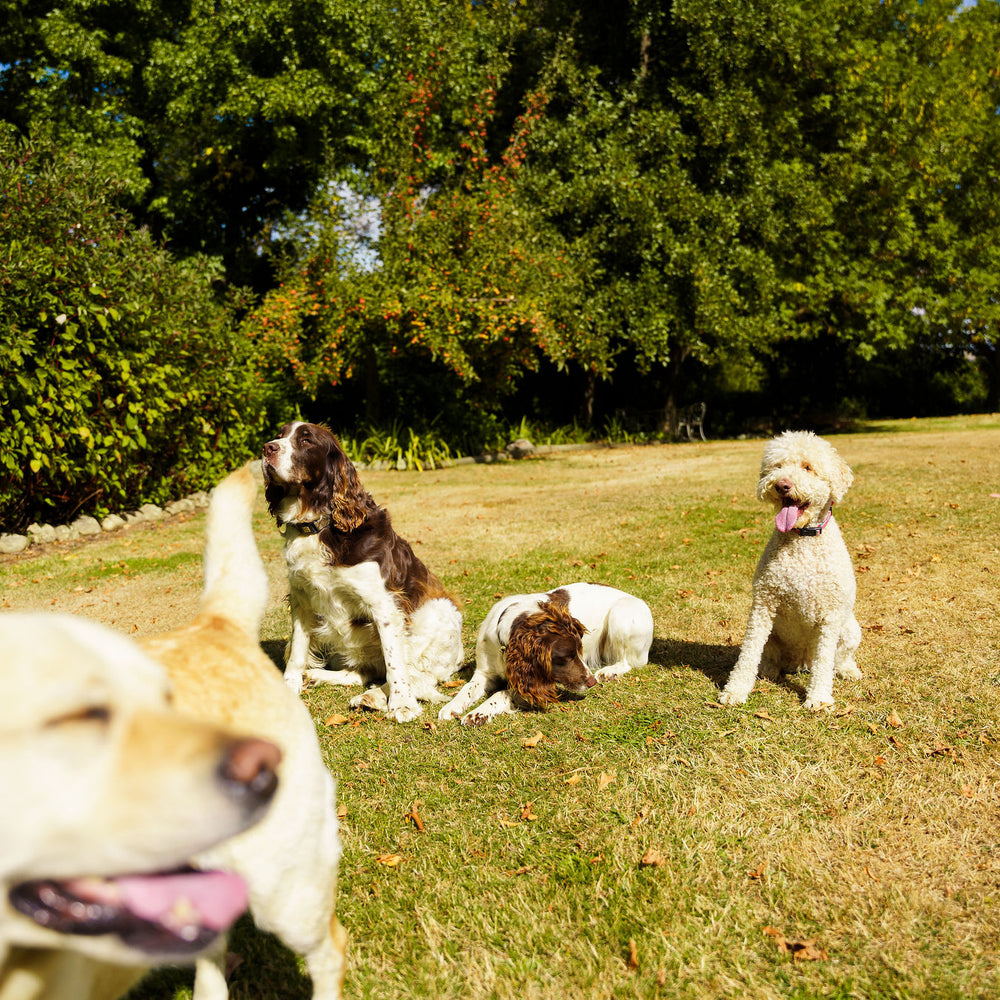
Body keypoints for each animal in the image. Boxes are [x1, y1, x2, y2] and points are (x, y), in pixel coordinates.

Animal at [720, 432, 860, 712]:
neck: (801, 539)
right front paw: (736, 690)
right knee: (768, 657)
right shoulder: (763, 606)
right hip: (772, 635)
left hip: (850, 628)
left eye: (807, 467)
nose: (782, 485)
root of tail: (800, 663)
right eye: (777, 466)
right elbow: (748, 653)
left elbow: (825, 660)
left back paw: (848, 670)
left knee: (838, 658)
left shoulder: (830, 615)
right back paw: (768, 670)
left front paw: (818, 697)